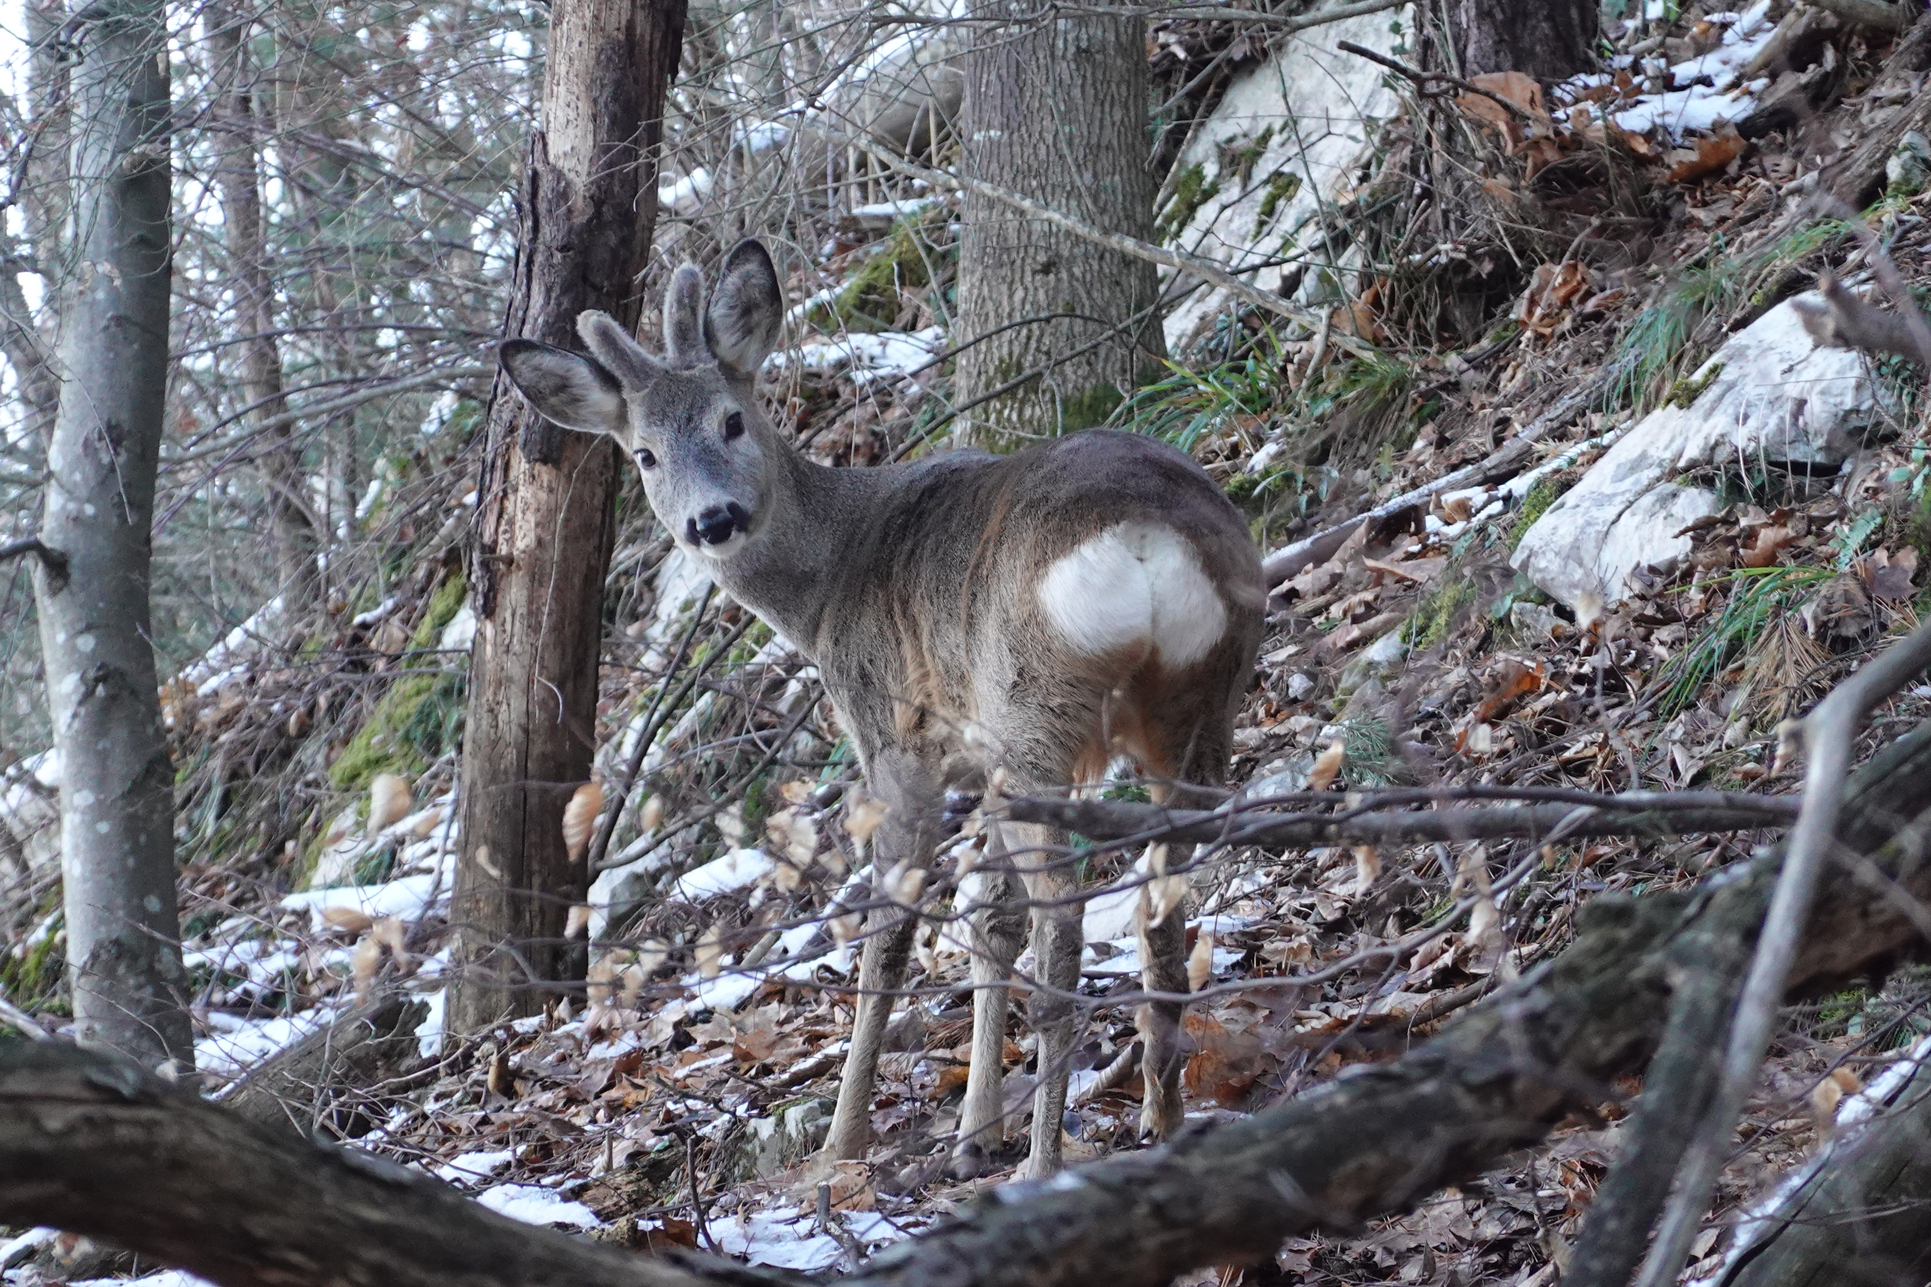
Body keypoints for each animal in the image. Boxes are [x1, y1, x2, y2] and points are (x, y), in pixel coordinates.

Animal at [498, 239, 1264, 1180]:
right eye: (643, 454)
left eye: (731, 420)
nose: (710, 519)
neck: (830, 583)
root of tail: (1144, 540)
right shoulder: (977, 753)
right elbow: (987, 916)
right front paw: (973, 1133)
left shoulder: (896, 741)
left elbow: (891, 929)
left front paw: (842, 1139)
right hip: (1200, 696)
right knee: (1161, 894)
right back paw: (1161, 1115)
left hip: (1035, 713)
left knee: (1065, 921)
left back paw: (1046, 1164)